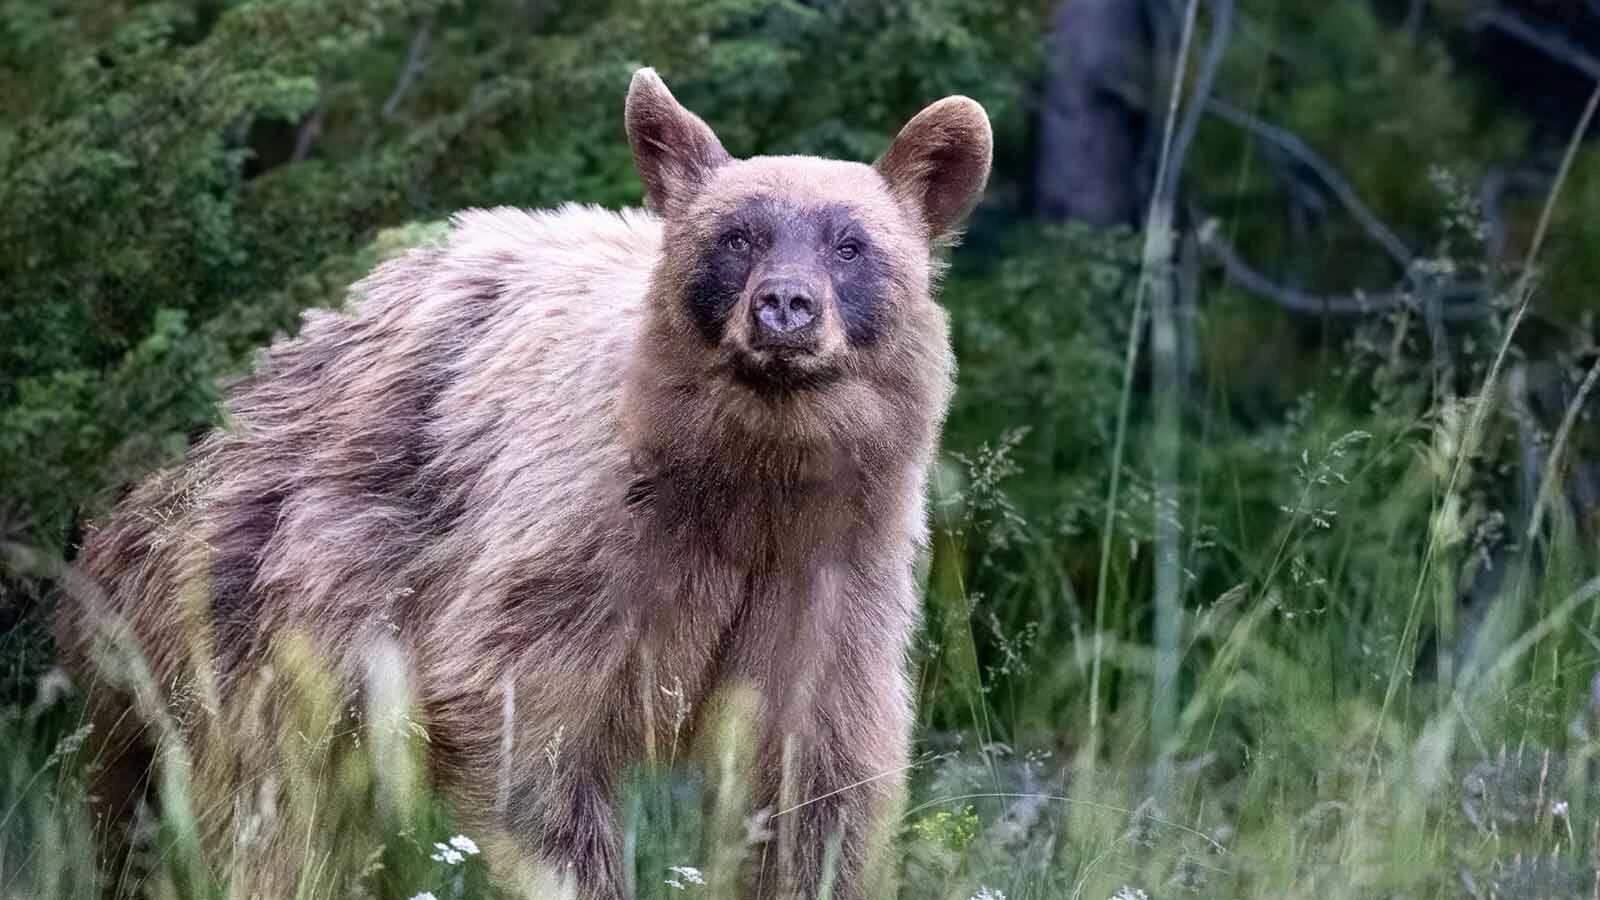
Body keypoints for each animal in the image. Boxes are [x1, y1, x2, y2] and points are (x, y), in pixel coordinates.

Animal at [55, 67, 991, 899]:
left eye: (850, 243)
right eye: (737, 236)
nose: (785, 308)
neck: (748, 481)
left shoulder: (831, 570)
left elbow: (816, 777)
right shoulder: (581, 549)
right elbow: (525, 728)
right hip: (258, 610)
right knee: (267, 813)